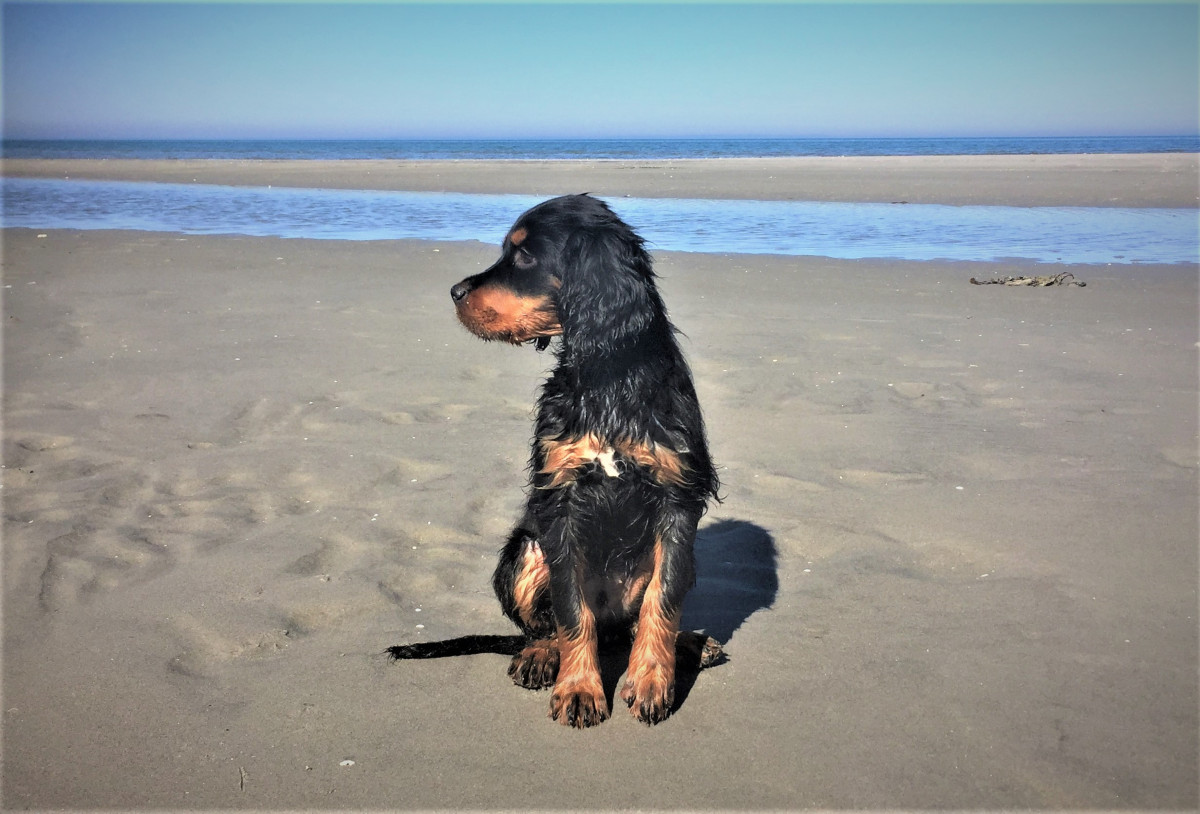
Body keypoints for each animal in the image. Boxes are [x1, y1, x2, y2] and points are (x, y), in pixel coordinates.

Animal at [393, 194, 721, 728]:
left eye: (525, 256)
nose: (455, 291)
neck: (608, 376)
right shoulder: (560, 500)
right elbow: (571, 609)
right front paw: (579, 689)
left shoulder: (678, 496)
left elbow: (663, 596)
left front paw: (651, 680)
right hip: (524, 550)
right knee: (542, 624)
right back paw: (539, 656)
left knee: (636, 619)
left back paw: (691, 643)